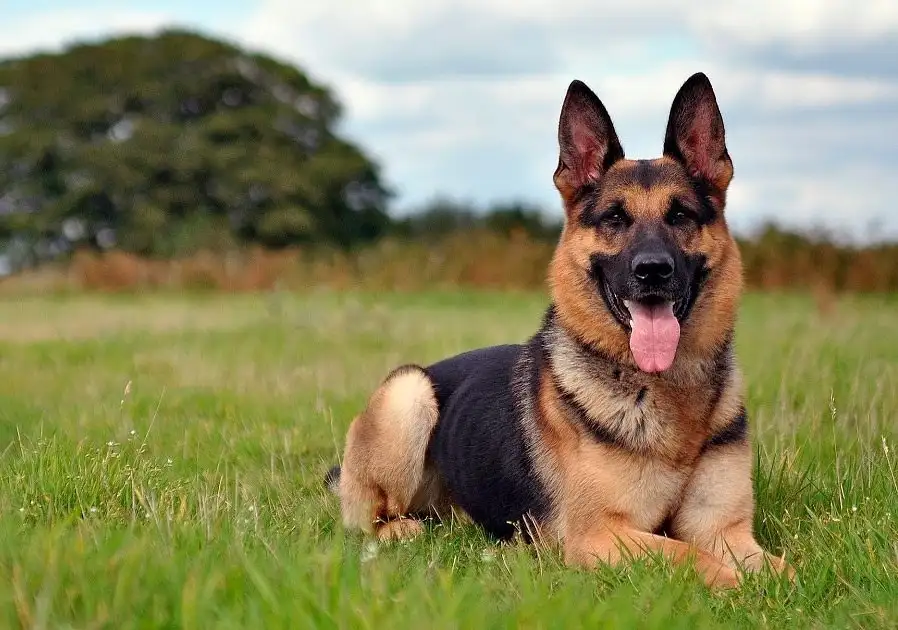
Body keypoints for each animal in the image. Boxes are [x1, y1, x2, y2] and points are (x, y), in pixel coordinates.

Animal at [322, 75, 792, 592]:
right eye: (614, 219)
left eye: (681, 216)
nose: (653, 271)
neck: (664, 389)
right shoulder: (600, 535)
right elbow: (691, 556)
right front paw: (737, 588)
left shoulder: (724, 529)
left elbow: (783, 568)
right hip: (407, 393)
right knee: (370, 522)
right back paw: (403, 529)